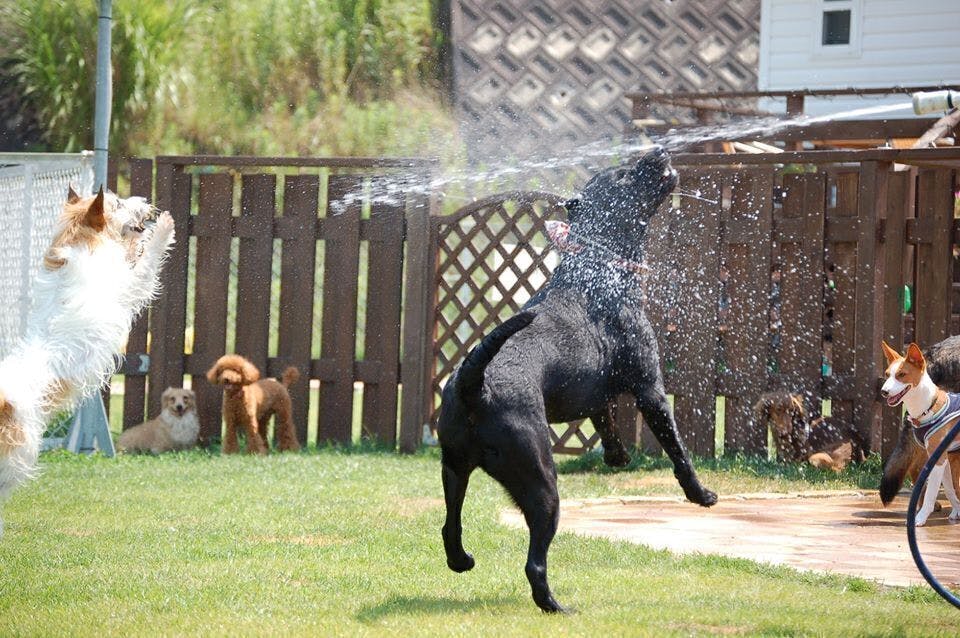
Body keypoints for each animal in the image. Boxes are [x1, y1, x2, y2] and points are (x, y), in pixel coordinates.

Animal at [0, 186, 174, 536]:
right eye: (118, 203)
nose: (144, 202)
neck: (79, 239)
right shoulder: (127, 288)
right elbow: (146, 264)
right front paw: (162, 228)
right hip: (18, 455)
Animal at [438, 146, 716, 616]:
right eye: (622, 175)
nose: (659, 150)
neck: (596, 266)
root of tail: (475, 383)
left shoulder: (595, 394)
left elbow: (604, 418)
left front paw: (618, 456)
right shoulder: (650, 389)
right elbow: (677, 449)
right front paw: (701, 493)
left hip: (454, 470)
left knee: (449, 528)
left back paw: (462, 561)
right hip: (541, 483)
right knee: (534, 562)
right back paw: (555, 606)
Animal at [880, 342, 960, 528]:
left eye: (902, 374)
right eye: (887, 374)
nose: (884, 391)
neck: (929, 407)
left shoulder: (939, 460)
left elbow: (932, 493)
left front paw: (920, 519)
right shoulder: (942, 457)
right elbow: (950, 490)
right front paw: (957, 511)